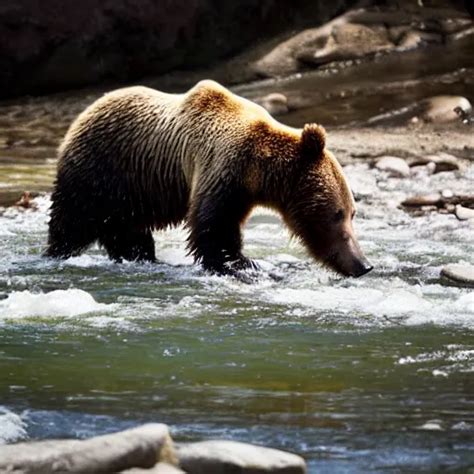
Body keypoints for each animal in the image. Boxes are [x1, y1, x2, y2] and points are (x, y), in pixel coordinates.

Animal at [46, 79, 372, 276]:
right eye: (337, 213)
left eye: (352, 212)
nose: (364, 264)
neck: (258, 170)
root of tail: (82, 114)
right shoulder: (221, 167)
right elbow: (213, 224)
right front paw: (241, 263)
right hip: (101, 170)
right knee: (72, 221)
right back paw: (57, 253)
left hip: (132, 192)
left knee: (126, 231)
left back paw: (140, 256)